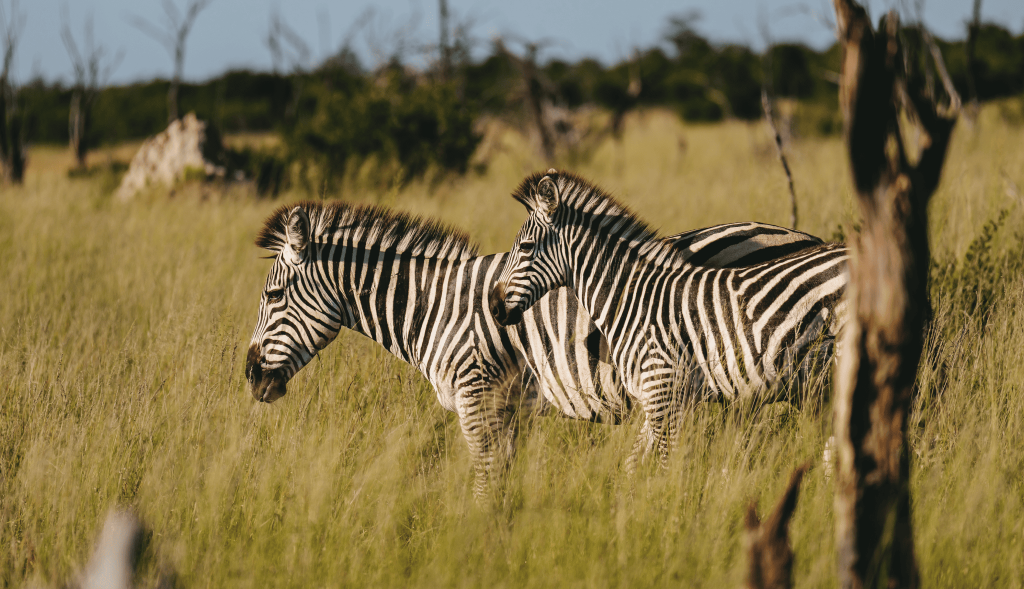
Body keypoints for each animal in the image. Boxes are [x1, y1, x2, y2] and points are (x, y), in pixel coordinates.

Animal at [245, 200, 827, 496]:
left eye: (272, 296)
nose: (250, 378)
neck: (436, 308)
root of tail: (805, 236)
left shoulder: (476, 394)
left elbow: (484, 480)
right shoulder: (508, 406)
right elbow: (503, 478)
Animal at [490, 170, 848, 466]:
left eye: (525, 247)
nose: (493, 306)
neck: (632, 298)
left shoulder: (664, 390)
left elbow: (667, 467)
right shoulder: (658, 396)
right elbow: (638, 465)